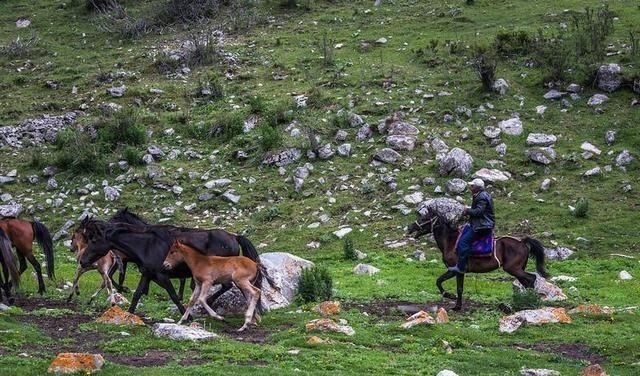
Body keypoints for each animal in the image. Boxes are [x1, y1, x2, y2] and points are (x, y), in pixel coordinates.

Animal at [408, 209, 548, 312]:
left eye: (423, 218)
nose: (409, 228)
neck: (451, 242)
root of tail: (522, 242)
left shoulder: (456, 270)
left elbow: (449, 285)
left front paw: (453, 301)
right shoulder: (456, 271)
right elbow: (443, 282)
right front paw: (454, 301)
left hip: (513, 269)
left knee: (531, 279)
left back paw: (530, 301)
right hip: (517, 270)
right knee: (527, 282)